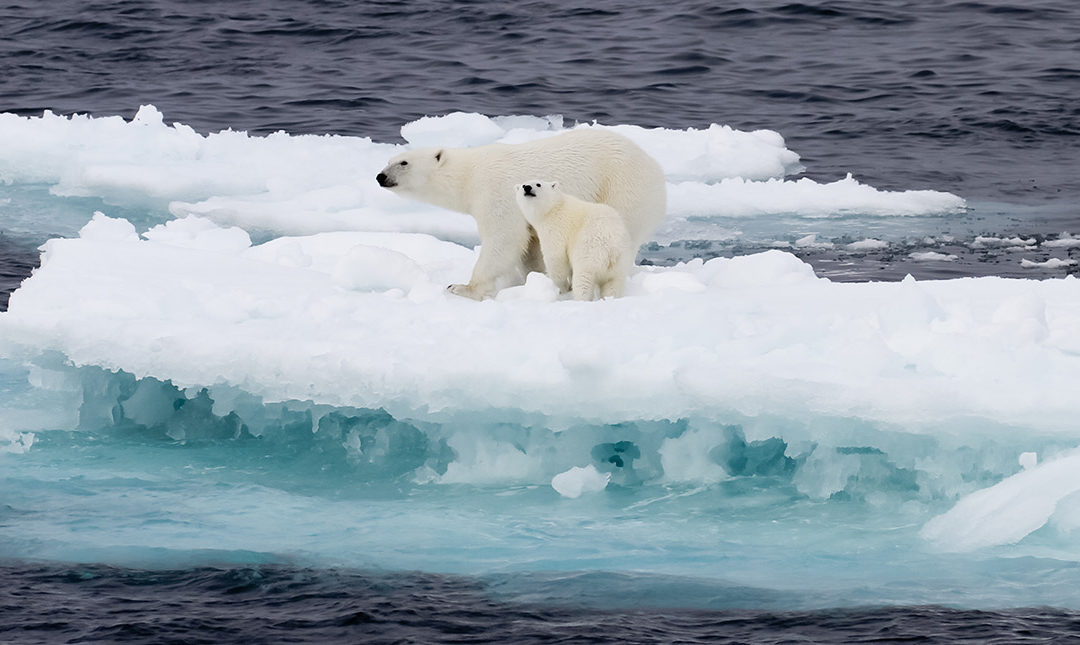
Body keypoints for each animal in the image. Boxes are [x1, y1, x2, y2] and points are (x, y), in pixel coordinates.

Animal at [378, 130, 665, 302]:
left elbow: (503, 239)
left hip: (622, 187)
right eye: (390, 160)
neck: (469, 175)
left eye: (403, 163)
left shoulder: (496, 194)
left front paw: (462, 288)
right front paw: (534, 280)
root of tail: (655, 167)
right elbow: (530, 246)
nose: (380, 177)